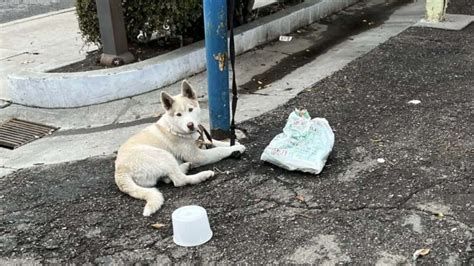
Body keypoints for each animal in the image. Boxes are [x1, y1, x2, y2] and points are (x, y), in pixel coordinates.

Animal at [115, 79, 246, 216]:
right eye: (178, 114)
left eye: (190, 109)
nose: (190, 125)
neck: (175, 128)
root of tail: (120, 171)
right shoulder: (198, 156)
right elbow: (218, 150)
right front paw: (233, 149)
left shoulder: (200, 140)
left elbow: (215, 142)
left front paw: (233, 143)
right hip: (163, 155)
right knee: (179, 180)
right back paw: (202, 175)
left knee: (168, 178)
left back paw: (186, 166)